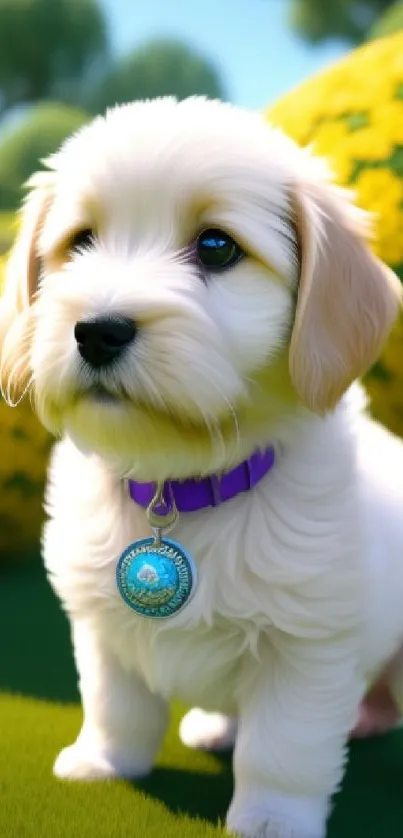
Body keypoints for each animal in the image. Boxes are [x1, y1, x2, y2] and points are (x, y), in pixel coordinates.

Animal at [0, 95, 403, 836]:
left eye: (217, 246)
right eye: (80, 241)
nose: (96, 330)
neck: (180, 485)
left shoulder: (307, 645)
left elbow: (282, 747)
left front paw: (271, 818)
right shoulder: (98, 621)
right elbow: (115, 706)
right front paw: (103, 763)